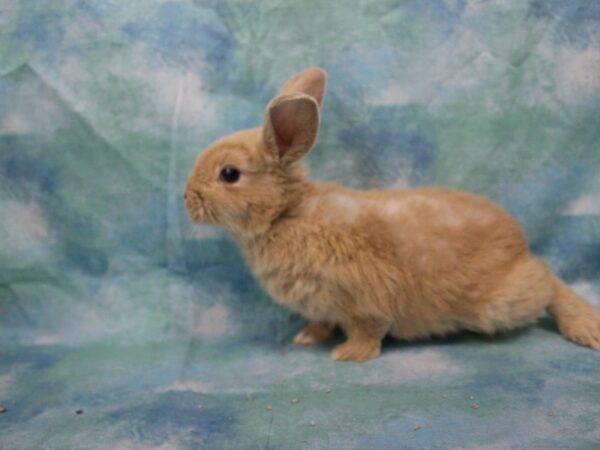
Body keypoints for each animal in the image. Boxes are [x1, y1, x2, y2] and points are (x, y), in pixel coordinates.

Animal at [184, 67, 600, 362]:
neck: (286, 214)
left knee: (548, 281)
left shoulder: (363, 296)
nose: (187, 200)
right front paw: (307, 338)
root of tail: (520, 244)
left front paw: (348, 355)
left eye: (229, 174)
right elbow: (322, 320)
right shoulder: (323, 303)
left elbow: (367, 328)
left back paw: (584, 324)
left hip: (502, 303)